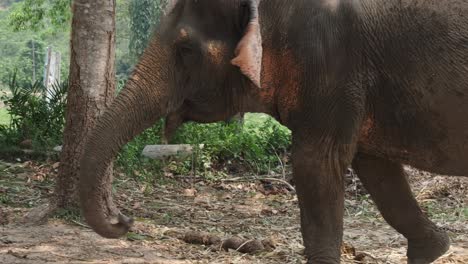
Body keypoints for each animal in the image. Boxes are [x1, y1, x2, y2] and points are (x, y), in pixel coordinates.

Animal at [79, 0, 468, 264]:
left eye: (185, 49)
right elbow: (375, 166)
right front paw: (433, 250)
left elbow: (316, 166)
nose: (123, 219)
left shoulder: (328, 66)